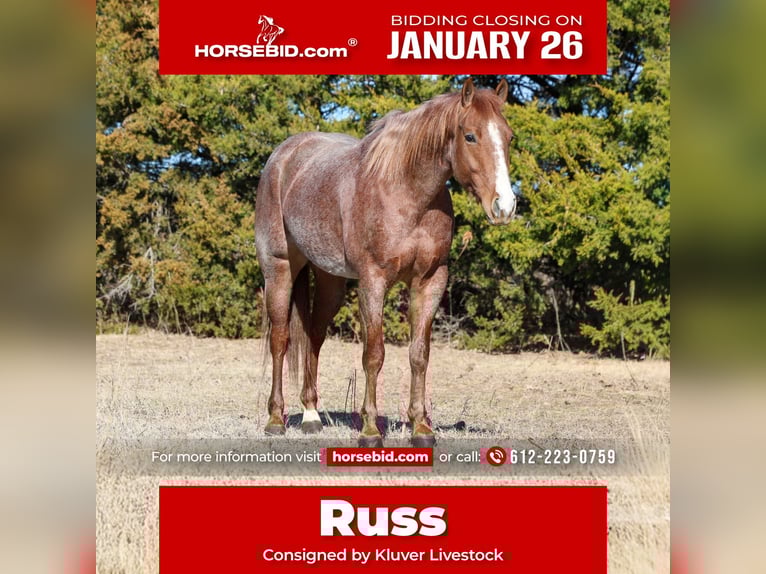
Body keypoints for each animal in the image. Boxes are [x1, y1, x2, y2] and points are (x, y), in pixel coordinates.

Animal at [255, 79, 516, 447]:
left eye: (509, 137)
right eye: (470, 136)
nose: (504, 206)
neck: (407, 193)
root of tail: (283, 156)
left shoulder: (431, 281)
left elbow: (419, 354)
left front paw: (421, 427)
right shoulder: (373, 281)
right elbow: (373, 355)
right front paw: (369, 430)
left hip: (330, 281)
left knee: (314, 336)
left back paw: (310, 414)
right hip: (278, 268)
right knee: (280, 339)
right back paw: (276, 419)